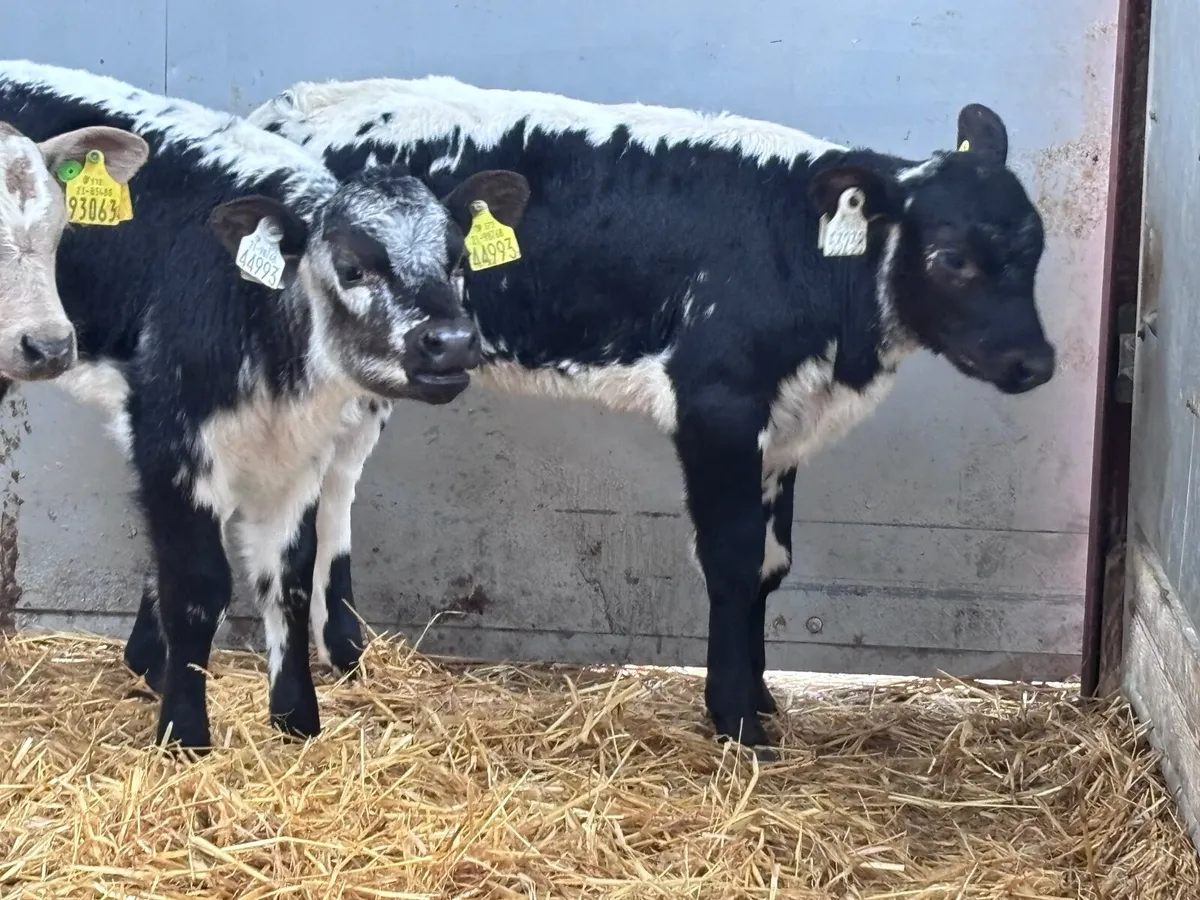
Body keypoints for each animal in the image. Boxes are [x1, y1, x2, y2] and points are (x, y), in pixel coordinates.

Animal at [178, 74, 1053, 757]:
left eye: (1036, 244)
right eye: (950, 258)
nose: (1036, 363)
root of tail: (283, 111)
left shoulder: (783, 426)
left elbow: (772, 563)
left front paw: (762, 700)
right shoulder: (717, 403)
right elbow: (733, 559)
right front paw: (737, 721)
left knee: (336, 486)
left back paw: (349, 654)